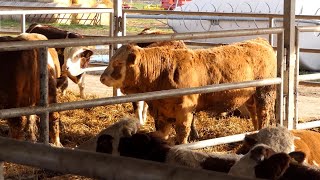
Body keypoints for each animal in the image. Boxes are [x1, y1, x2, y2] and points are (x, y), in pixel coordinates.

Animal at [100, 38, 278, 145]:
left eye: (117, 63)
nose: (102, 78)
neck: (163, 72)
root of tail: (260, 41)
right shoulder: (161, 111)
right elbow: (161, 132)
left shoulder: (185, 110)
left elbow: (182, 132)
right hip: (251, 98)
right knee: (255, 115)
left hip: (264, 93)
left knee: (263, 115)